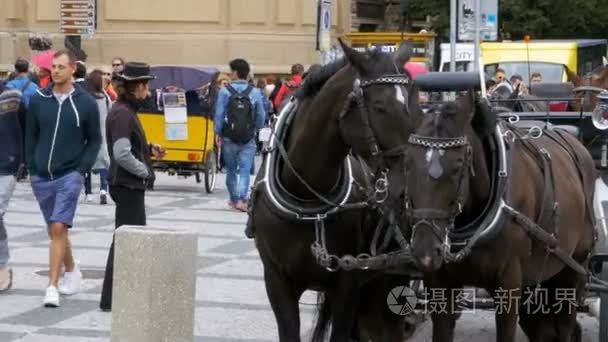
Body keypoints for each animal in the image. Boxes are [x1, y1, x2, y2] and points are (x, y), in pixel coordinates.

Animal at [247, 41, 422, 340]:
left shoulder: (347, 283)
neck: (307, 198)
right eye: (380, 106)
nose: (413, 175)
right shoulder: (277, 280)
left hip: (389, 275)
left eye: (412, 103)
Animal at [402, 91, 596, 342]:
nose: (425, 251)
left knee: (564, 325)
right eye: (407, 162)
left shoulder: (509, 284)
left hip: (573, 265)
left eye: (457, 166)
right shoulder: (440, 284)